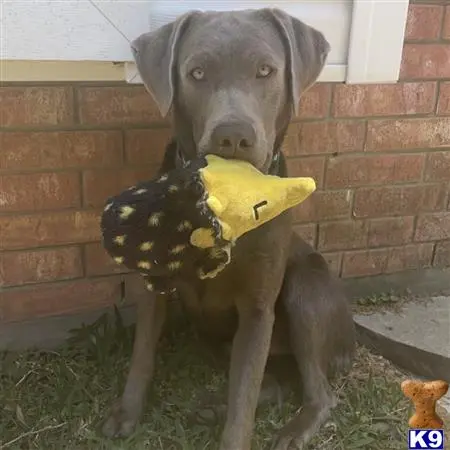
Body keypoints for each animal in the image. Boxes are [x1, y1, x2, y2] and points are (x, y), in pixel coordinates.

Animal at [102, 7, 356, 450]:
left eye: (265, 70)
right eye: (197, 72)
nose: (233, 136)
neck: (227, 198)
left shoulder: (257, 308)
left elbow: (245, 397)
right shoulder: (154, 284)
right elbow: (143, 354)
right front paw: (127, 413)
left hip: (304, 289)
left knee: (316, 390)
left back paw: (293, 430)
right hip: (214, 338)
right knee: (275, 384)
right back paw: (213, 406)